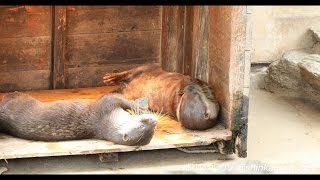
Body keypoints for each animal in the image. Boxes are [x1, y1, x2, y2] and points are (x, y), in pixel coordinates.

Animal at [0, 91, 158, 146]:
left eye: (152, 130)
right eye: (142, 124)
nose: (154, 121)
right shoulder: (106, 105)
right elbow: (119, 99)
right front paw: (139, 106)